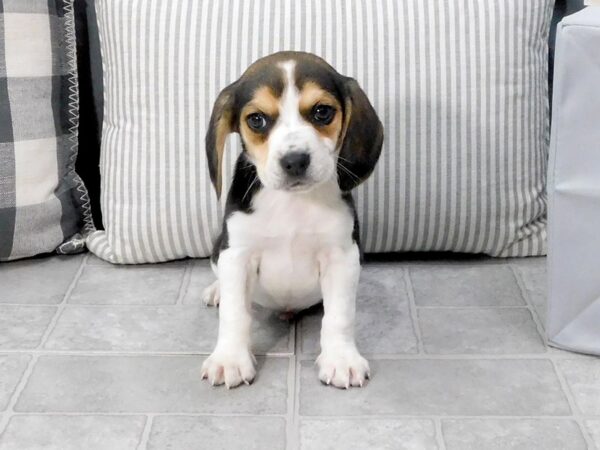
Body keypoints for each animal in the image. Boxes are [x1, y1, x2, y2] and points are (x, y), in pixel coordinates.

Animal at [199, 51, 382, 388]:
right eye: (256, 119)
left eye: (322, 112)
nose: (295, 161)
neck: (292, 204)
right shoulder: (237, 255)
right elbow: (234, 314)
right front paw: (230, 359)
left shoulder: (341, 257)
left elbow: (339, 316)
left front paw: (341, 359)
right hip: (220, 249)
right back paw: (216, 290)